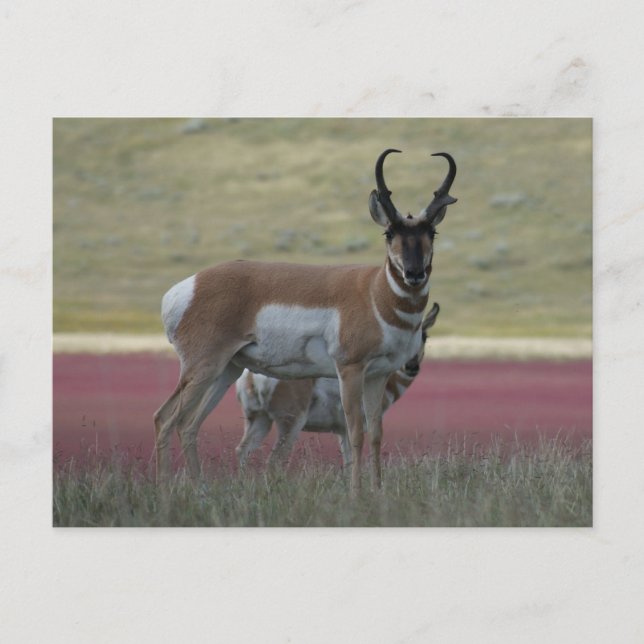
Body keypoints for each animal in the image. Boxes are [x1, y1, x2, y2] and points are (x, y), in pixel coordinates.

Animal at [235, 303, 440, 467]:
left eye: (425, 336)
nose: (411, 366)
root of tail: (251, 377)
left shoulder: (341, 431)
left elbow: (348, 463)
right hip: (290, 423)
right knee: (274, 461)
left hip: (259, 420)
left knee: (242, 452)